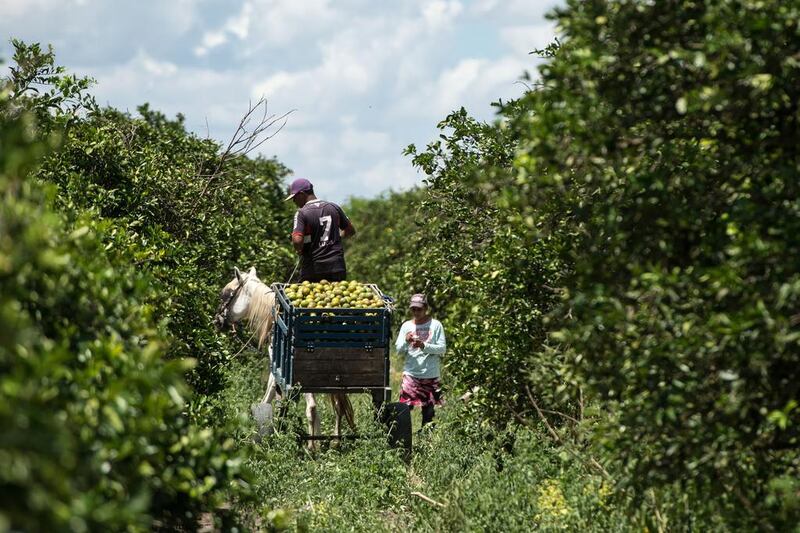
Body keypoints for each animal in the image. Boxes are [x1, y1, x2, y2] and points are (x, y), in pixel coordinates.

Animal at [212, 266, 354, 444]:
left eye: (225, 294)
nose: (216, 320)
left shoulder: (277, 368)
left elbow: (269, 396)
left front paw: (258, 433)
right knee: (338, 405)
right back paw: (334, 441)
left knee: (313, 407)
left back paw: (311, 447)